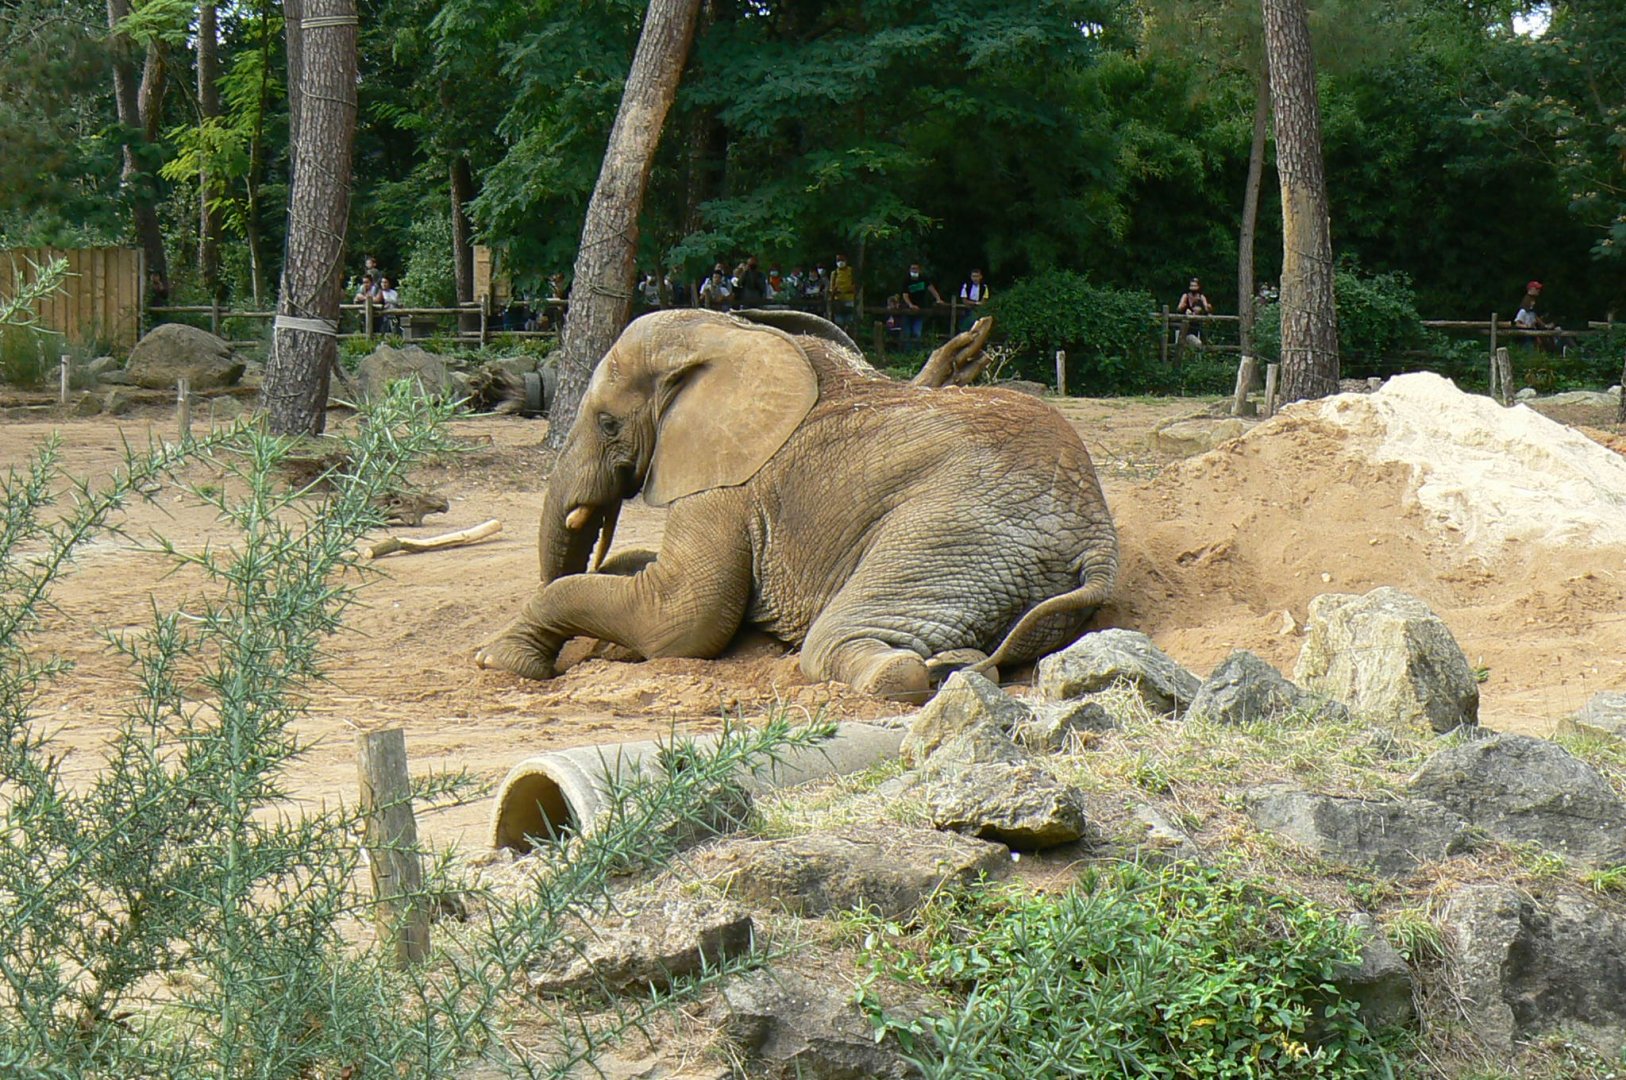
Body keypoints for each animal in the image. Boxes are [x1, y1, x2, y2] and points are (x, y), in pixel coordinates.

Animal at [475, 308, 1118, 701]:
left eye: (608, 424)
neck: (734, 330)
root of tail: (1097, 538)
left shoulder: (729, 482)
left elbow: (681, 617)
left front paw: (499, 660)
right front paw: (609, 634)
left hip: (951, 534)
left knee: (839, 643)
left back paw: (929, 671)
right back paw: (957, 658)